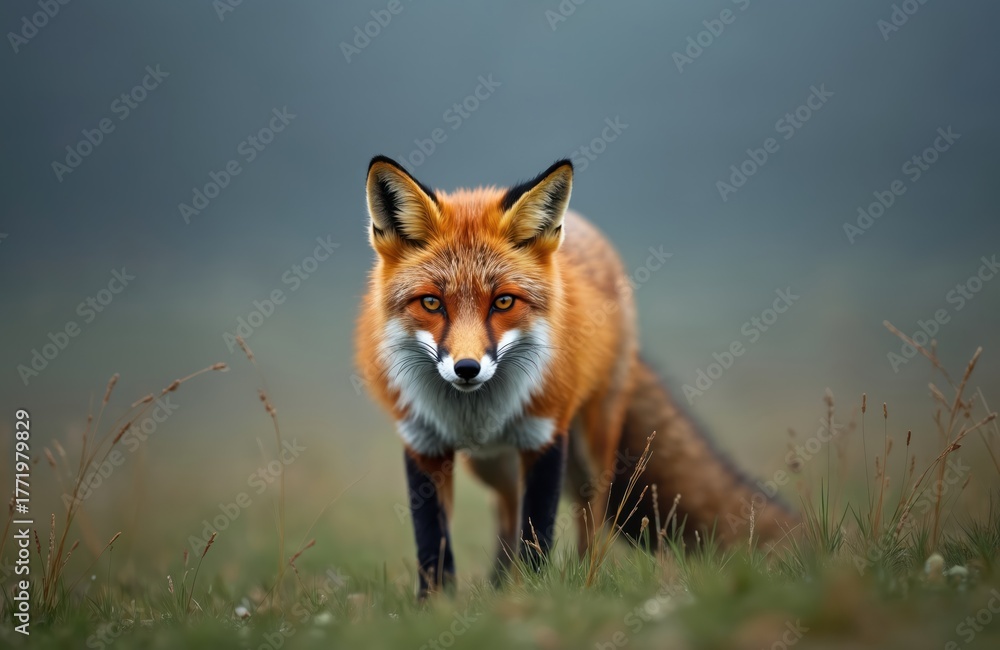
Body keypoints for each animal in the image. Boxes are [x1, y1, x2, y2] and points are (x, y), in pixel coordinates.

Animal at [355, 156, 797, 595]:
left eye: (503, 302)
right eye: (431, 303)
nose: (467, 368)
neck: (476, 412)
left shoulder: (545, 434)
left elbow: (537, 536)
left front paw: (532, 596)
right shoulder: (423, 442)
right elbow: (433, 544)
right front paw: (437, 604)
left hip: (591, 447)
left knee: (591, 518)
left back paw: (586, 580)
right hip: (491, 465)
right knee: (507, 508)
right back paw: (499, 587)